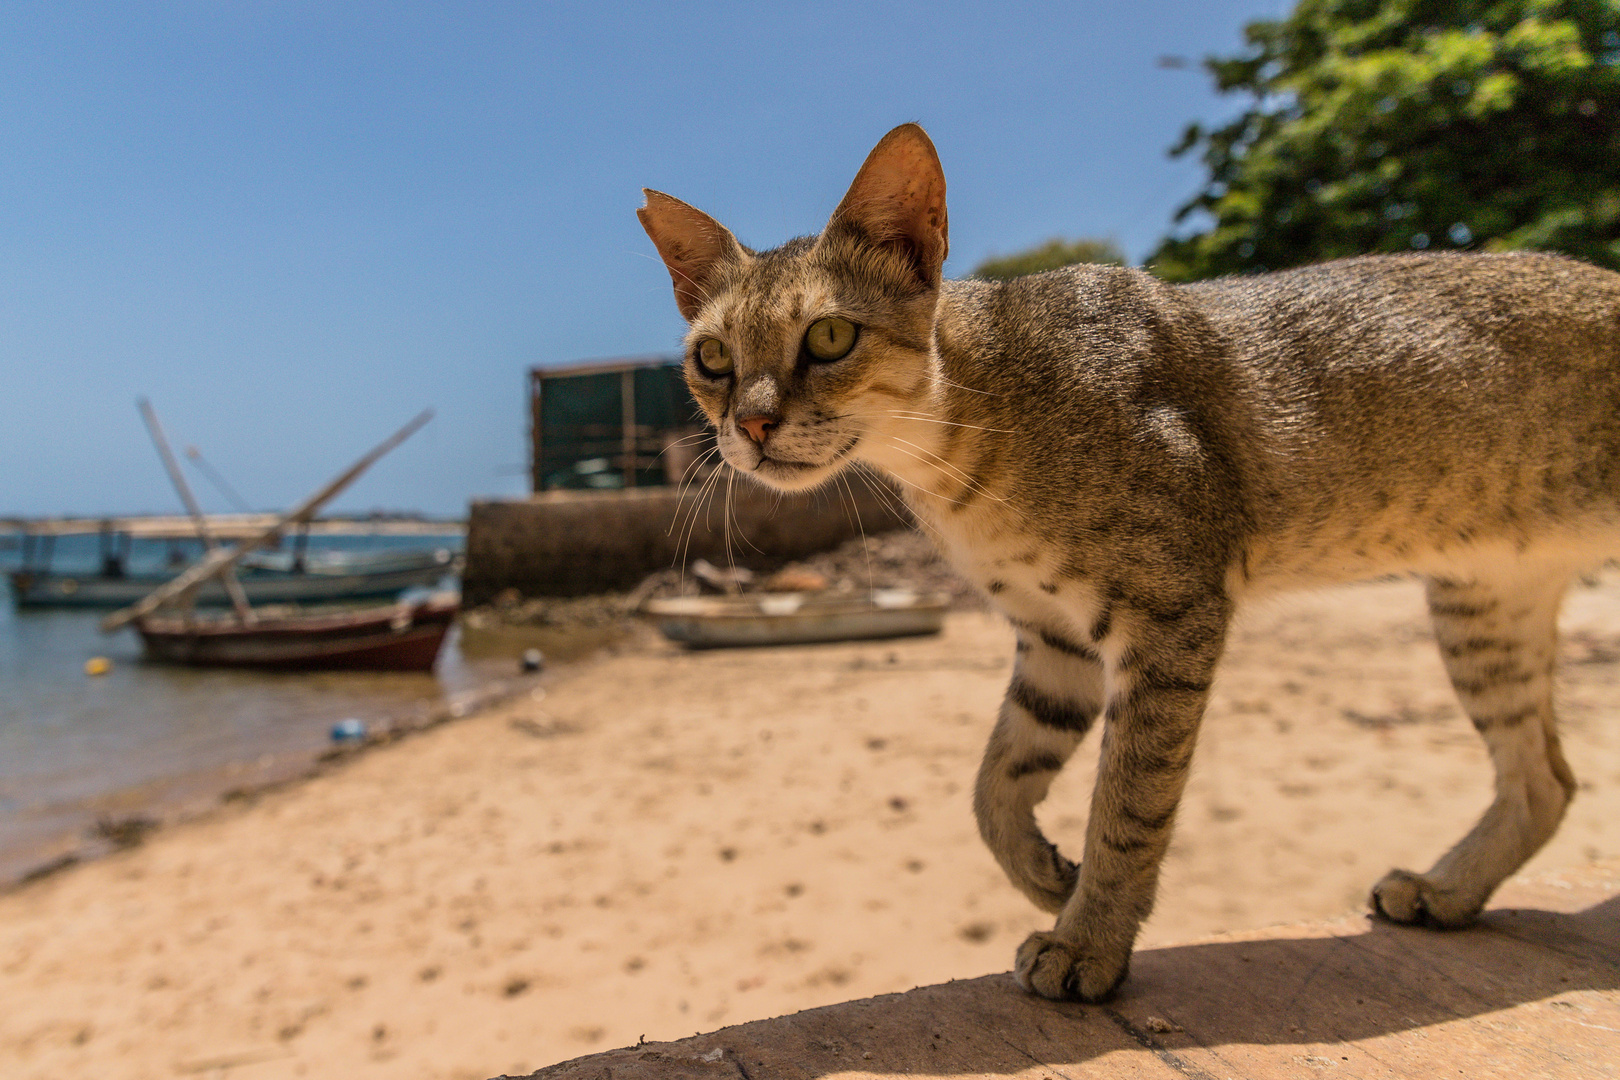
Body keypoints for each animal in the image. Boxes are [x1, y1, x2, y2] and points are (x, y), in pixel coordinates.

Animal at [631, 122, 1620, 1003]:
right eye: (712, 357)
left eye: (830, 338)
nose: (750, 426)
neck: (964, 452)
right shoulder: (1053, 637)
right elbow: (993, 784)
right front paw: (1043, 875)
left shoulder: (1170, 616)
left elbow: (1128, 805)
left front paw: (1088, 942)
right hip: (1484, 610)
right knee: (1547, 780)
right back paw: (1448, 891)